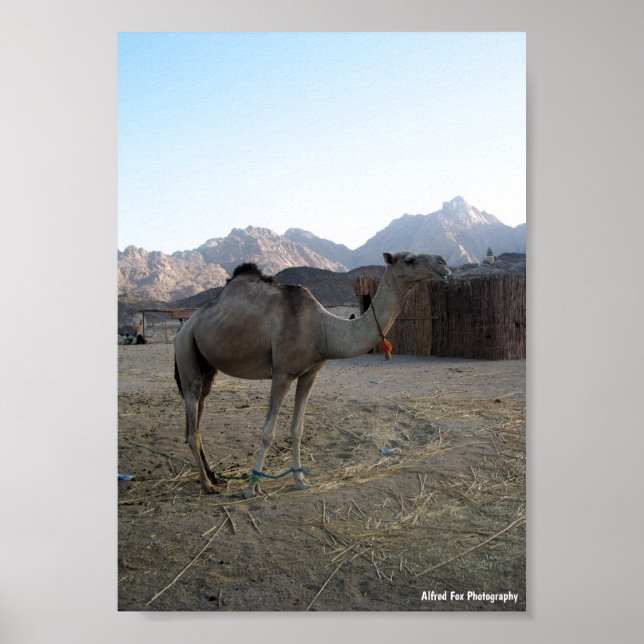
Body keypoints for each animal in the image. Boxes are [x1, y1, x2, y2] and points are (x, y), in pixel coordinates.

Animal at [173, 251, 451, 498]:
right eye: (409, 259)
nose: (443, 263)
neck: (323, 329)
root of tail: (187, 324)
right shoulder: (282, 373)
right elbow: (268, 432)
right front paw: (252, 486)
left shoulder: (309, 374)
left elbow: (297, 428)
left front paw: (299, 480)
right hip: (186, 350)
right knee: (192, 418)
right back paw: (206, 485)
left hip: (208, 366)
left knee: (197, 417)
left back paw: (213, 477)